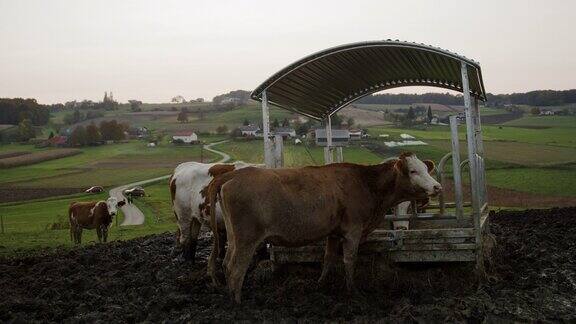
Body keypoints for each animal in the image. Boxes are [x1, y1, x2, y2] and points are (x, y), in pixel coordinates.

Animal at [209, 153, 444, 302]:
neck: (366, 183)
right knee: (236, 268)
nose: (437, 187)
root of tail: (232, 174)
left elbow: (328, 258)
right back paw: (238, 304)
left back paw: (231, 297)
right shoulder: (353, 231)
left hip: (233, 236)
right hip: (247, 238)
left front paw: (320, 284)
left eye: (426, 169)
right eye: (413, 171)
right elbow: (349, 260)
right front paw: (353, 291)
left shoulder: (333, 233)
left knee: (226, 263)